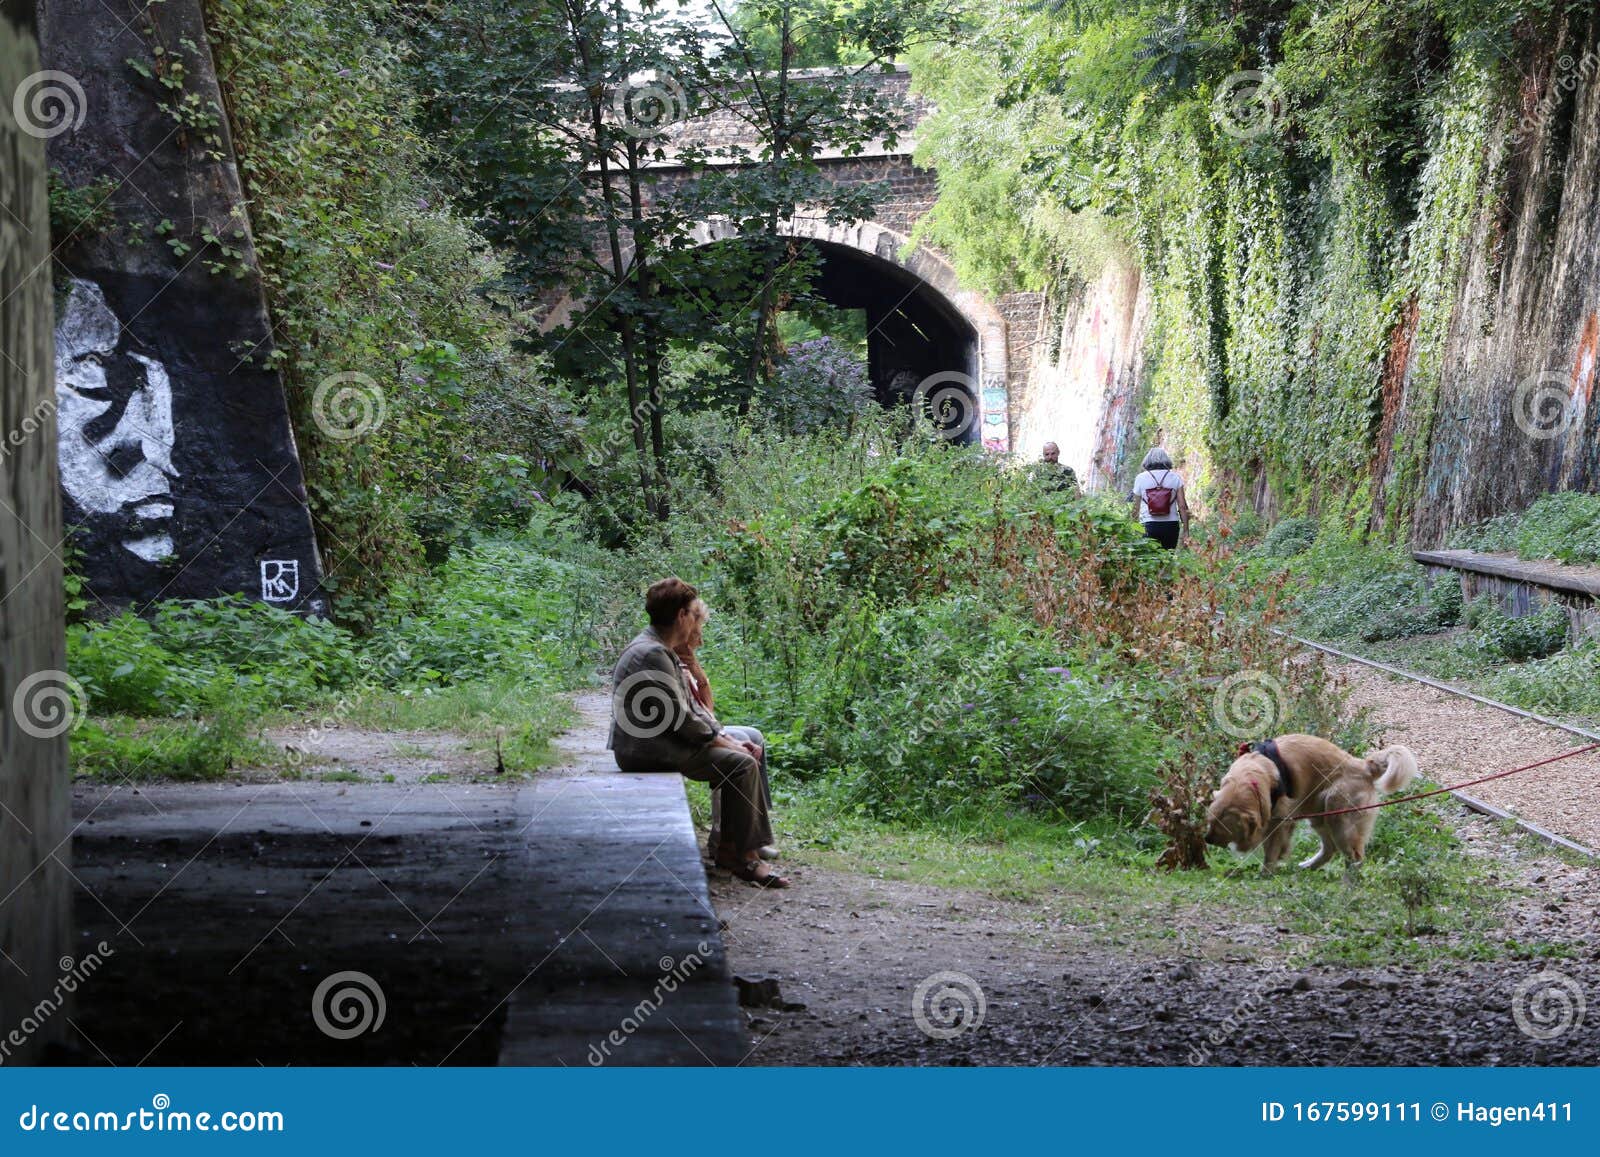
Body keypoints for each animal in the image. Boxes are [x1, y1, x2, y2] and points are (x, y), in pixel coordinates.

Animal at [1203, 736, 1420, 870]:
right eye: (1210, 821)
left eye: (1223, 826)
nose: (1207, 839)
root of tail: (1364, 766)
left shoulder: (1280, 821)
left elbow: (1271, 851)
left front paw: (1266, 871)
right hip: (1320, 815)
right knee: (1330, 849)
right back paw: (1308, 866)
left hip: (1338, 813)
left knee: (1355, 856)